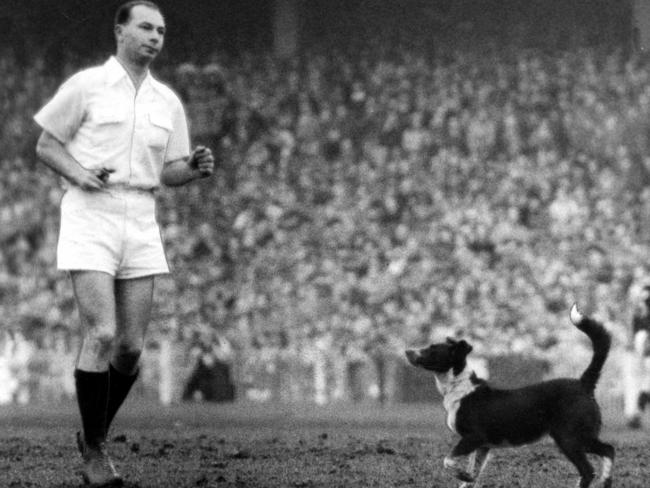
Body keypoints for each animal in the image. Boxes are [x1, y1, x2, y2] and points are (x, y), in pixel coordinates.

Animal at [404, 304, 612, 488]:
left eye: (432, 349)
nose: (407, 351)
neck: (459, 386)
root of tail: (583, 383)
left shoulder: (473, 437)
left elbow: (449, 461)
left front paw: (463, 474)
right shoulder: (482, 446)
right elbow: (473, 473)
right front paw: (468, 478)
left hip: (569, 438)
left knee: (589, 470)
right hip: (581, 437)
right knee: (609, 451)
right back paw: (606, 480)